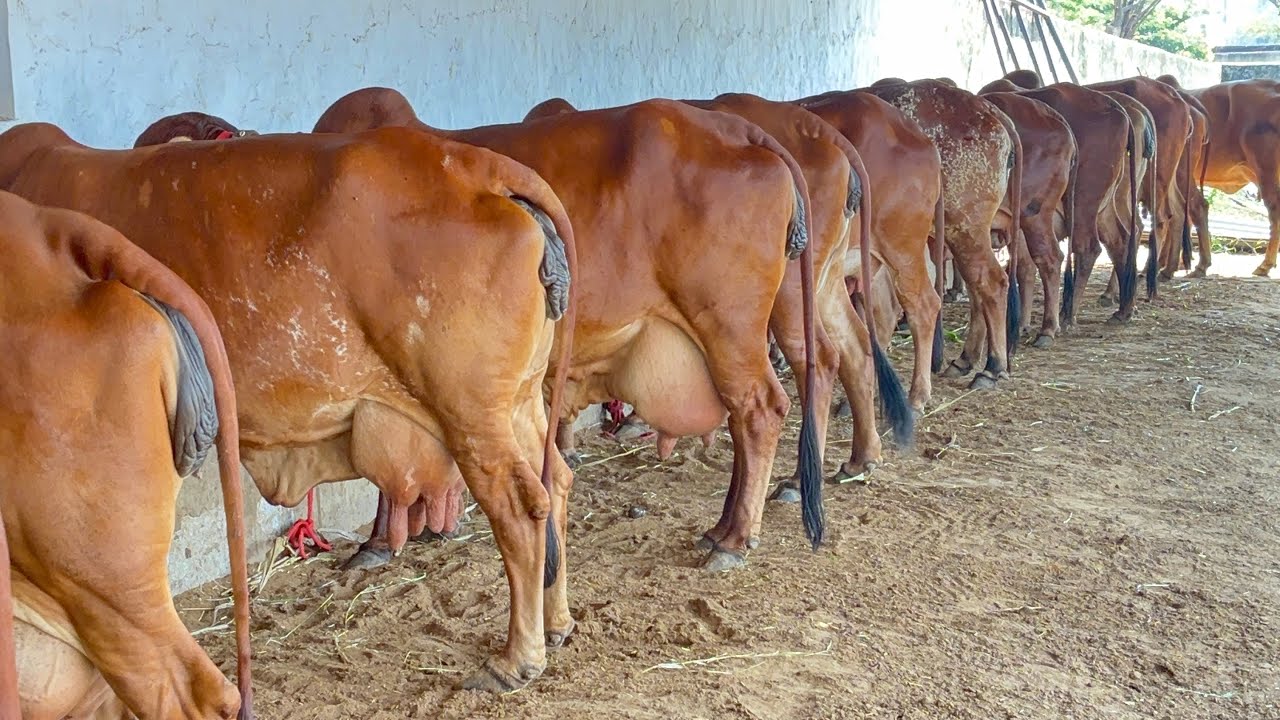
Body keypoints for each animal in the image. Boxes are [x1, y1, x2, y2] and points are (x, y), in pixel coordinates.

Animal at [313, 88, 829, 581]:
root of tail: (737, 128)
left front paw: (380, 541)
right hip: (775, 311)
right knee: (802, 376)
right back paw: (730, 521)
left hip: (728, 324)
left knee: (760, 409)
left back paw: (735, 537)